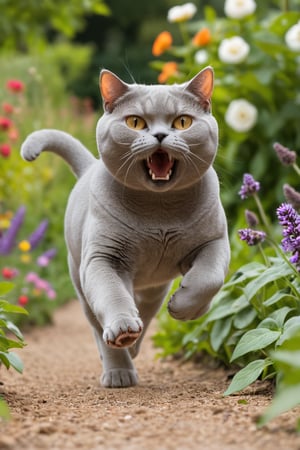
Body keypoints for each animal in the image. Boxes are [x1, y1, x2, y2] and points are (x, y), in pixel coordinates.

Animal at [21, 68, 231, 388]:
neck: (159, 212)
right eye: (135, 122)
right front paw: (122, 328)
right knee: (101, 326)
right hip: (80, 281)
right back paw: (120, 368)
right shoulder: (103, 258)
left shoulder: (215, 242)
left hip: (155, 287)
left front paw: (184, 307)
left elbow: (209, 278)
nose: (160, 135)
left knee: (147, 308)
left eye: (182, 122)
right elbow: (112, 295)